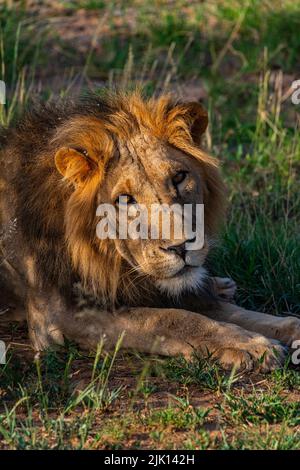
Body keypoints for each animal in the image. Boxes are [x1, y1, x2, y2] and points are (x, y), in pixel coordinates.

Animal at [0, 92, 300, 370]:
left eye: (179, 177)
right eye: (124, 199)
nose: (181, 247)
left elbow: (239, 314)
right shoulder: (59, 316)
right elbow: (169, 319)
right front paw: (249, 345)